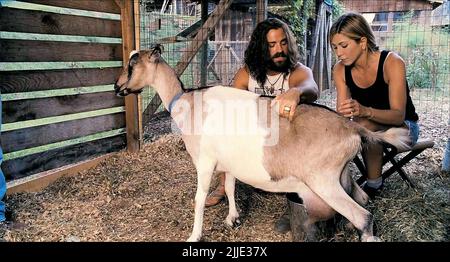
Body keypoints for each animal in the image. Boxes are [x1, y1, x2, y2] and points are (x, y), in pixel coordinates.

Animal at [114, 46, 410, 243]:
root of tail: (352, 127)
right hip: (342, 175)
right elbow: (230, 187)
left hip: (323, 181)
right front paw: (232, 218)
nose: (118, 88)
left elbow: (198, 199)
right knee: (363, 199)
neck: (188, 103)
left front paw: (194, 236)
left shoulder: (205, 161)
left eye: (132, 64)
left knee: (363, 216)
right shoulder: (229, 162)